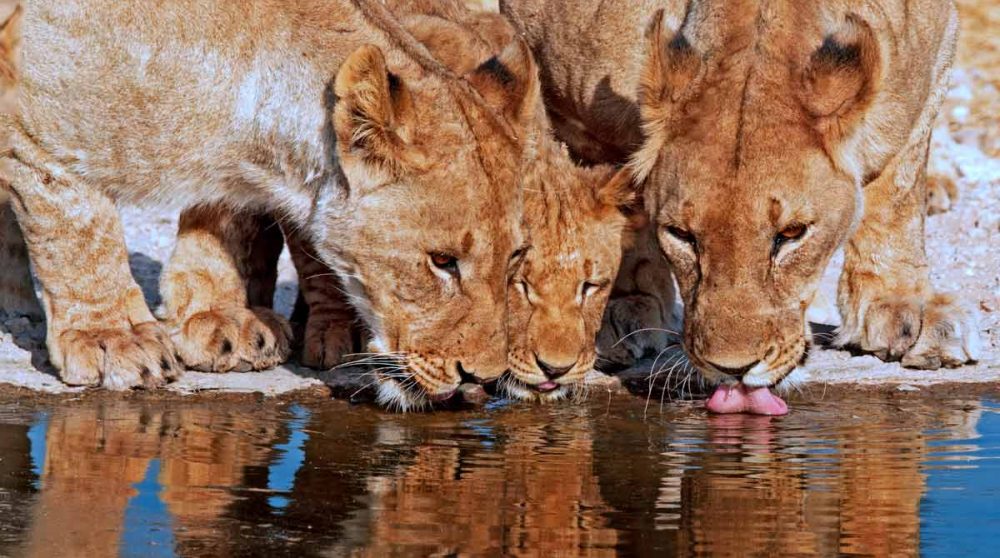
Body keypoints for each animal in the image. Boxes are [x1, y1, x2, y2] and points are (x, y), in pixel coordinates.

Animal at [1, 0, 537, 403]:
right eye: (442, 261)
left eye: (515, 257)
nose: (482, 378)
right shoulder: (35, 120)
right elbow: (79, 229)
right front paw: (111, 338)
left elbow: (224, 219)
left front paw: (217, 318)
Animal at [502, 0, 980, 413]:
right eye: (682, 235)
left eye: (791, 234)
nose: (733, 370)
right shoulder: (567, 97)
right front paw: (616, 308)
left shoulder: (932, 55)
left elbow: (897, 190)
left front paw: (904, 308)